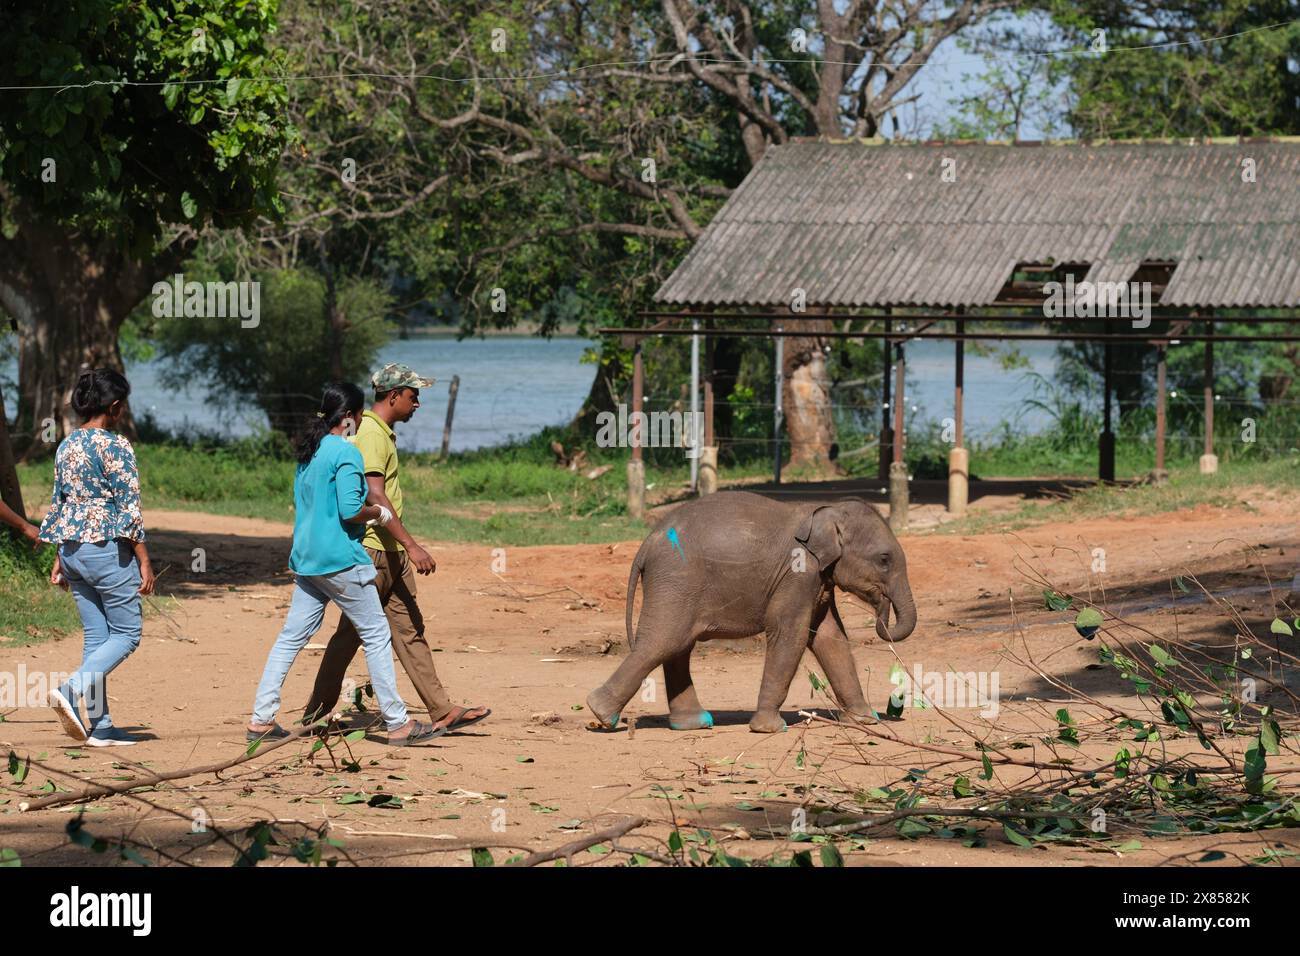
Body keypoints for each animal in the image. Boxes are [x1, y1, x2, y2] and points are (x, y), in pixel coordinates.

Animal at [590, 489, 915, 738]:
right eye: (884, 560)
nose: (882, 608)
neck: (826, 510)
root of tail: (645, 545)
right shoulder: (797, 573)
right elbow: (790, 633)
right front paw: (771, 729)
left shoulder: (819, 579)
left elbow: (830, 637)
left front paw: (866, 720)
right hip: (676, 581)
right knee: (662, 641)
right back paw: (601, 714)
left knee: (678, 646)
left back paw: (693, 724)